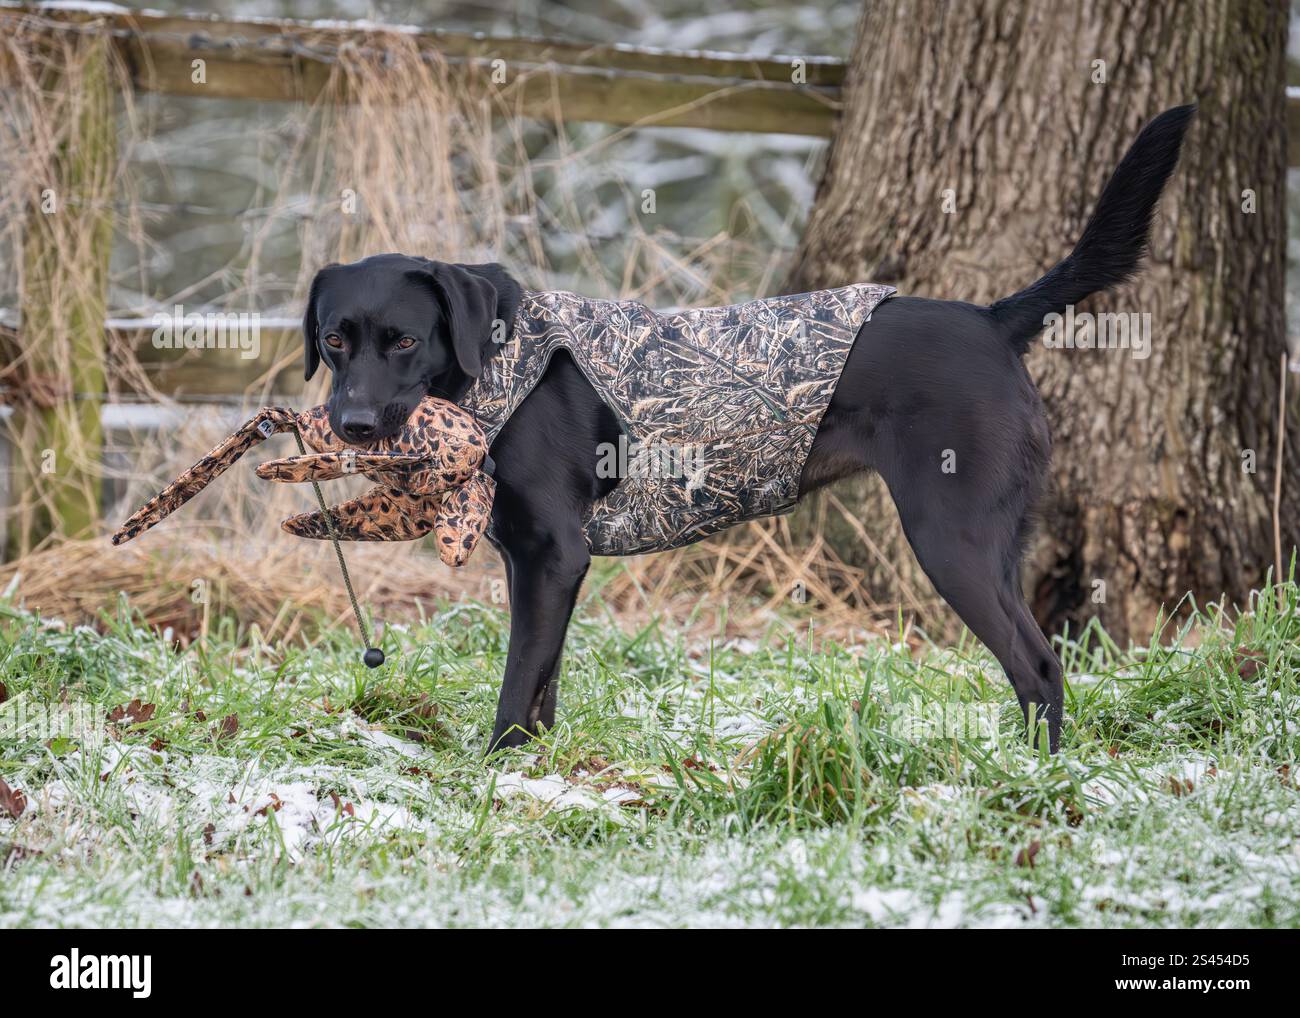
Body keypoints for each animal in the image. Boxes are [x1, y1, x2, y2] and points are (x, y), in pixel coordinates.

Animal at [299, 107, 1190, 754]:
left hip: (952, 539)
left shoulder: (555, 555)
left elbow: (519, 687)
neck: (499, 363)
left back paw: (1031, 782)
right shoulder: (537, 565)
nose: (350, 423)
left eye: (405, 342)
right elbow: (544, 685)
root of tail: (994, 319)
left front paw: (498, 775)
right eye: (335, 339)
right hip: (995, 544)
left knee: (1037, 665)